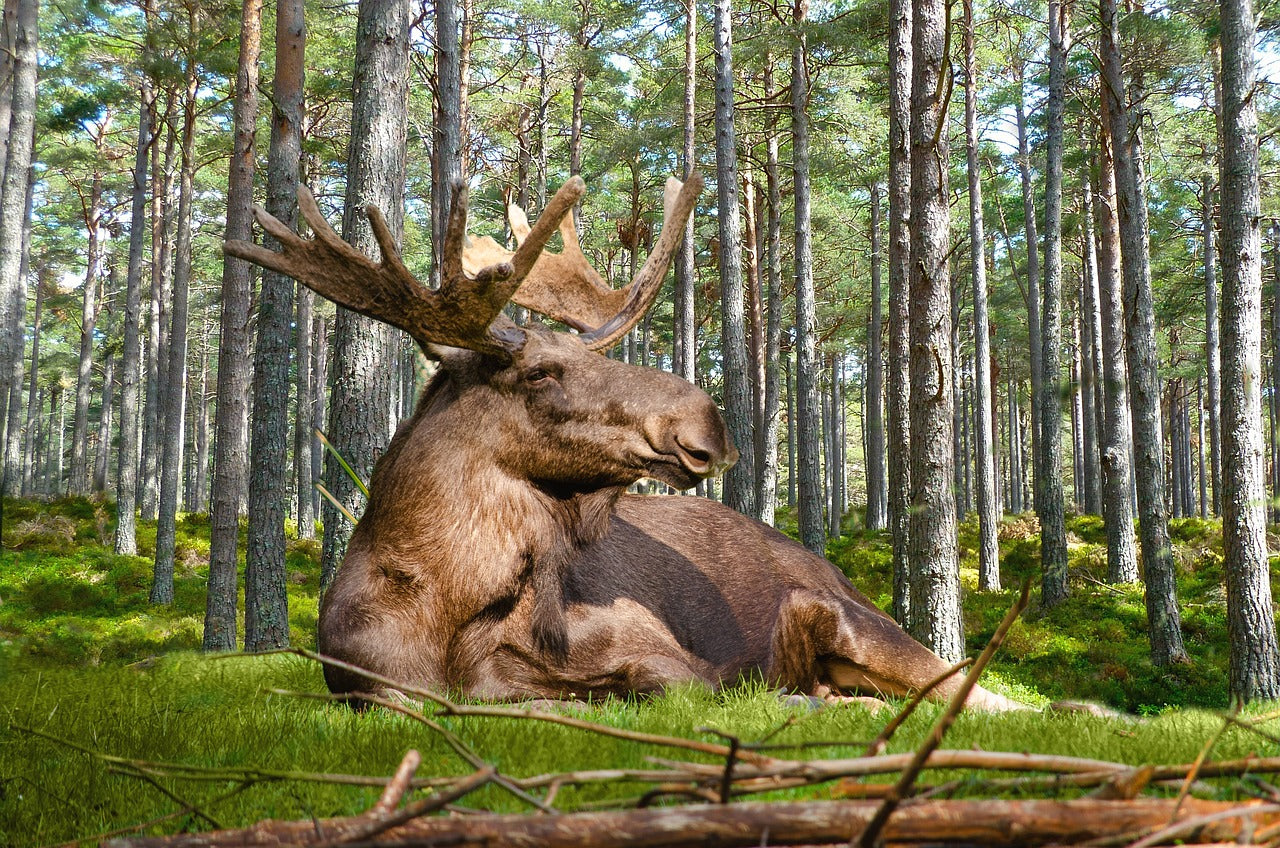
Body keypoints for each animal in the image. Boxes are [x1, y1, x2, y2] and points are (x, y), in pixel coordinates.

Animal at [225, 171, 1024, 712]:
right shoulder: (369, 683)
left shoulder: (664, 654)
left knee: (979, 691)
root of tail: (834, 569)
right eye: (541, 372)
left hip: (858, 622)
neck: (446, 609)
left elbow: (658, 687)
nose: (708, 420)